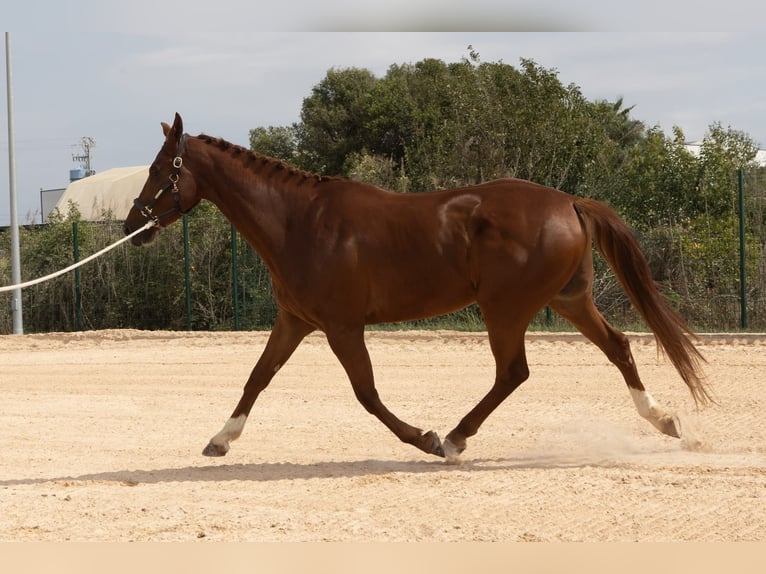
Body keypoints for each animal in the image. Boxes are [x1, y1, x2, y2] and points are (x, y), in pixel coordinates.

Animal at [126, 115, 712, 466]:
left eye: (159, 168)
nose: (134, 224)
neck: (298, 222)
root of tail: (568, 201)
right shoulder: (295, 321)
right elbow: (257, 377)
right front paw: (220, 439)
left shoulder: (341, 327)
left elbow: (366, 394)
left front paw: (425, 439)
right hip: (568, 300)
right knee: (618, 347)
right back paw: (666, 421)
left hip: (505, 309)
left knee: (513, 373)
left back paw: (454, 438)